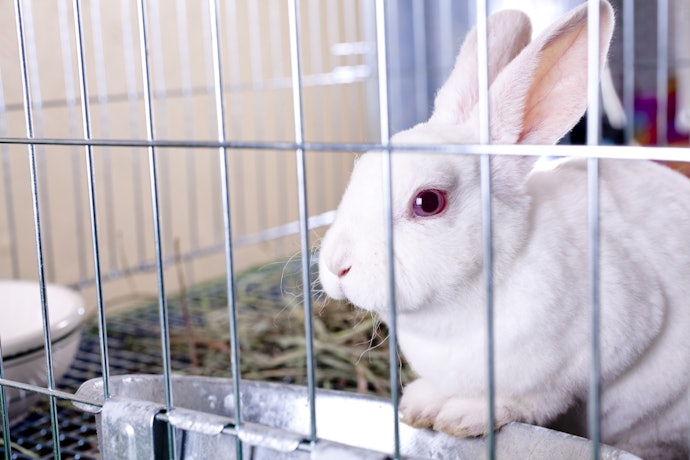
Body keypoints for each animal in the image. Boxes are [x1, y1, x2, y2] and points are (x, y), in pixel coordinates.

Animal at [318, 1, 690, 459]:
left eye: (428, 202)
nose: (337, 266)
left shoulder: (605, 341)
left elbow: (532, 399)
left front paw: (463, 416)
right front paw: (419, 406)